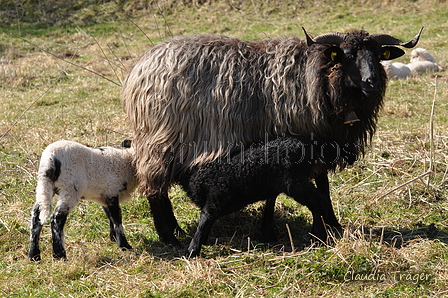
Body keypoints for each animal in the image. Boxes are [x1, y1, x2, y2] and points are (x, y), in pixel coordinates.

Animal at [121, 28, 422, 248]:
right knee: (154, 189)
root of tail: (140, 68)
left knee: (160, 188)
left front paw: (331, 225)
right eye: (346, 55)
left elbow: (320, 185)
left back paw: (175, 229)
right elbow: (282, 192)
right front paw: (275, 229)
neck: (318, 78)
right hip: (161, 138)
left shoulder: (315, 142)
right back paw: (168, 237)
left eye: (378, 54)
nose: (372, 82)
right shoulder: (290, 141)